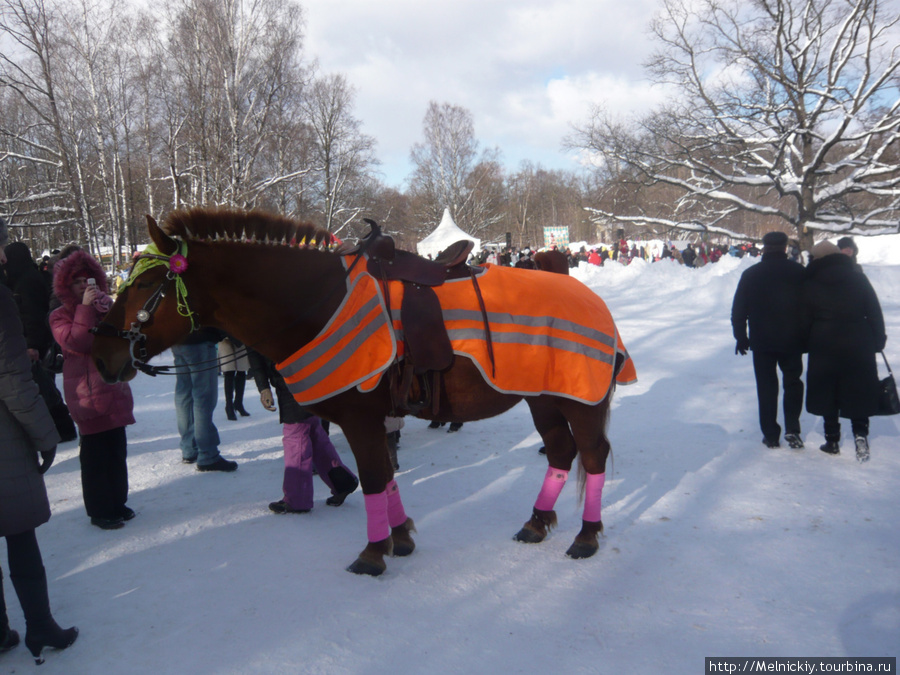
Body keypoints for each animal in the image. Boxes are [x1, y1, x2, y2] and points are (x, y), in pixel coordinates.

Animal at [93, 210, 632, 576]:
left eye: (143, 284)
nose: (101, 353)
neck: (319, 302)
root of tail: (594, 303)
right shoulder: (370, 420)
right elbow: (386, 478)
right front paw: (400, 536)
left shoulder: (358, 417)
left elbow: (374, 478)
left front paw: (375, 552)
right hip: (543, 400)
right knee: (560, 452)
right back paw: (537, 523)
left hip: (580, 402)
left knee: (592, 455)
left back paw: (586, 536)